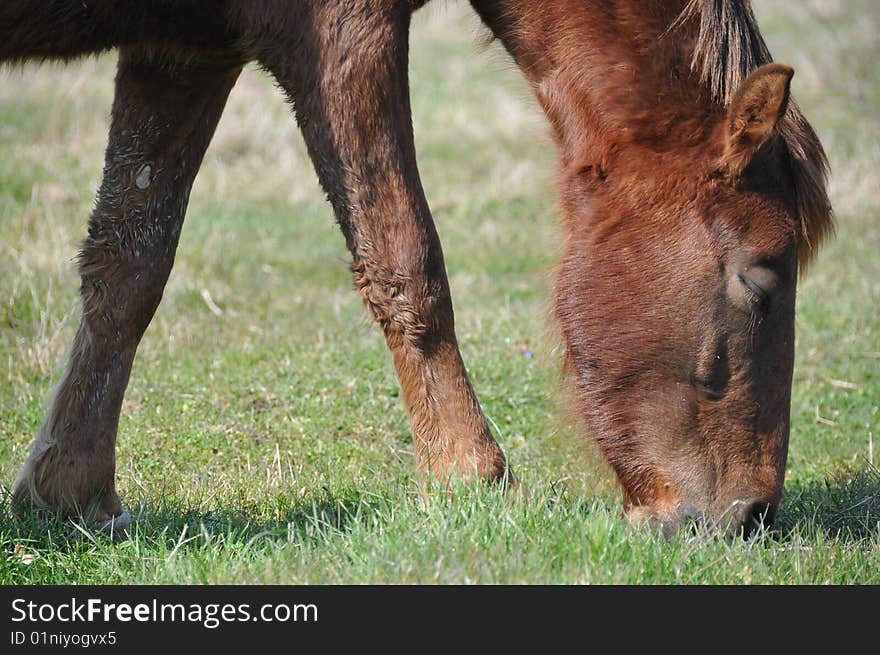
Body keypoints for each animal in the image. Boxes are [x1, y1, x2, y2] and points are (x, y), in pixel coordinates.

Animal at [1, 1, 832, 540]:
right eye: (760, 278)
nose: (751, 517)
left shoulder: (184, 49)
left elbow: (128, 264)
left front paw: (71, 490)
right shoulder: (341, 35)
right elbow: (406, 262)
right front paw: (469, 473)